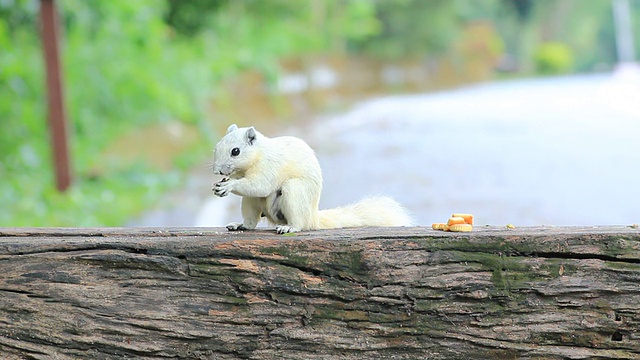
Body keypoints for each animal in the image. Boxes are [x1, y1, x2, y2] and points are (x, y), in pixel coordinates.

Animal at [211, 124, 416, 233]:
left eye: (235, 151)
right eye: (216, 147)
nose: (217, 171)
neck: (258, 155)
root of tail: (312, 217)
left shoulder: (269, 166)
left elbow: (260, 185)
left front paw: (228, 186)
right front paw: (220, 186)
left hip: (294, 192)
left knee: (298, 223)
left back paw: (289, 228)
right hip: (251, 202)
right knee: (251, 220)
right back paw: (241, 225)